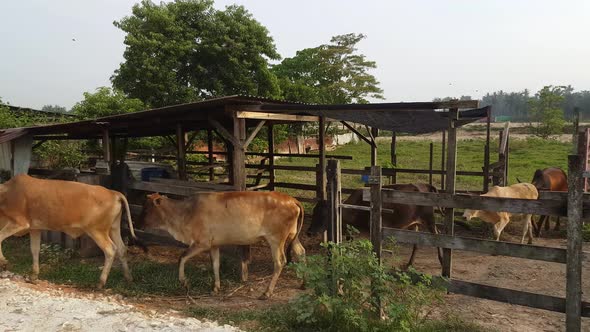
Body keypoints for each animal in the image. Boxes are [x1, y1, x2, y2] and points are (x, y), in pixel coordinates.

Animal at [0, 174, 138, 288]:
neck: (6, 193)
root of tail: (113, 193)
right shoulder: (35, 229)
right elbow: (34, 250)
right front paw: (33, 276)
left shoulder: (19, 223)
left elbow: (0, 237)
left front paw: (3, 262)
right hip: (113, 229)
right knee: (121, 249)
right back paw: (129, 278)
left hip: (97, 231)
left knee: (110, 250)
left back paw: (101, 282)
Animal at [138, 191, 306, 300]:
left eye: (146, 209)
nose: (137, 223)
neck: (186, 212)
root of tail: (293, 200)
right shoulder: (214, 245)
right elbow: (215, 265)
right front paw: (215, 288)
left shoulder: (202, 243)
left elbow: (182, 257)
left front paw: (184, 282)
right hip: (293, 236)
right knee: (301, 253)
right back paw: (304, 284)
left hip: (275, 239)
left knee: (280, 262)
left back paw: (266, 293)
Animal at [310, 183, 444, 268]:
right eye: (313, 212)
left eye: (324, 214)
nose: (309, 232)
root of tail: (425, 185)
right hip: (414, 223)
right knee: (416, 243)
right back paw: (409, 263)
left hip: (429, 220)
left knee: (438, 236)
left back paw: (442, 261)